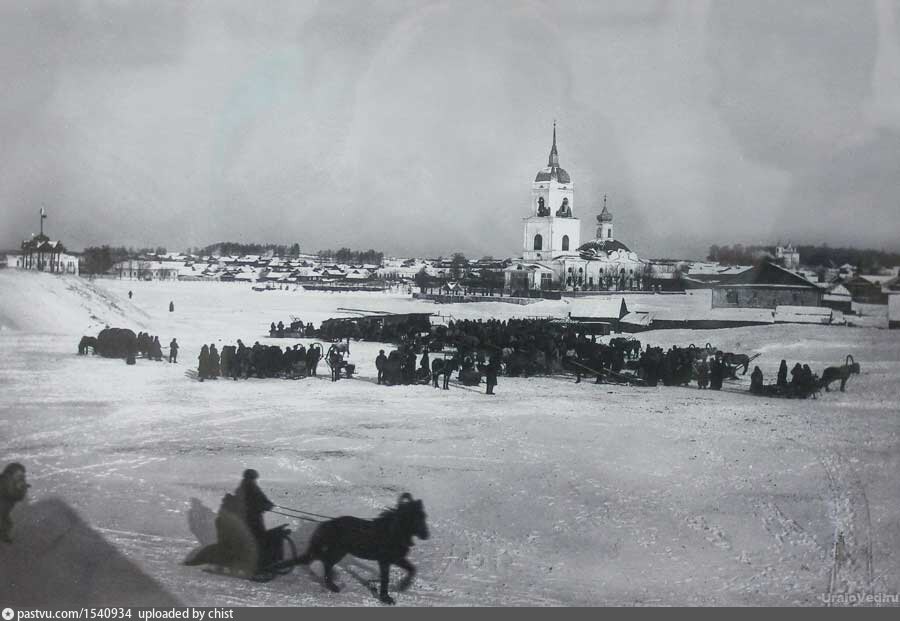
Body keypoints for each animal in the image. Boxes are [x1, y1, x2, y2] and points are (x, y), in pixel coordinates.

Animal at [284, 492, 432, 604]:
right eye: (415, 519)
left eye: (424, 517)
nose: (426, 535)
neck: (392, 531)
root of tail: (327, 524)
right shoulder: (384, 561)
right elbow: (386, 578)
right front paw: (386, 598)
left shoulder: (395, 558)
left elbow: (412, 568)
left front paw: (402, 586)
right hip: (338, 552)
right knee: (326, 563)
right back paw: (333, 586)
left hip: (337, 551)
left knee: (324, 561)